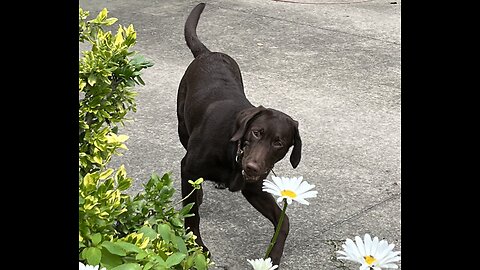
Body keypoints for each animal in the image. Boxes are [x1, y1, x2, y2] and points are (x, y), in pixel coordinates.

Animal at [178, 2, 302, 266]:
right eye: (256, 132)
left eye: (279, 143)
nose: (253, 167)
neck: (233, 152)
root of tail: (208, 52)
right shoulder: (189, 167)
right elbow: (192, 217)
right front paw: (197, 248)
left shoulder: (254, 189)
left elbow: (283, 221)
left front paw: (273, 257)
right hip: (183, 129)